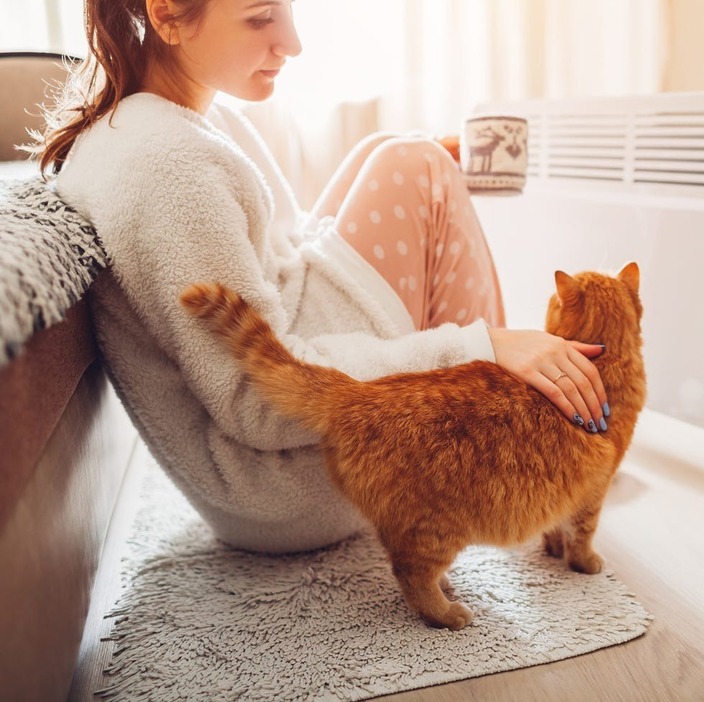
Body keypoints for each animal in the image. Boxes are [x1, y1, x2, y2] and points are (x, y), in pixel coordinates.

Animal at [180, 264, 644, 632]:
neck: (605, 364)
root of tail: (361, 392)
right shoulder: (593, 492)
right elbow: (582, 535)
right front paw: (584, 563)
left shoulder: (567, 490)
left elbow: (557, 527)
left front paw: (552, 550)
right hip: (437, 529)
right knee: (410, 575)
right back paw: (447, 612)